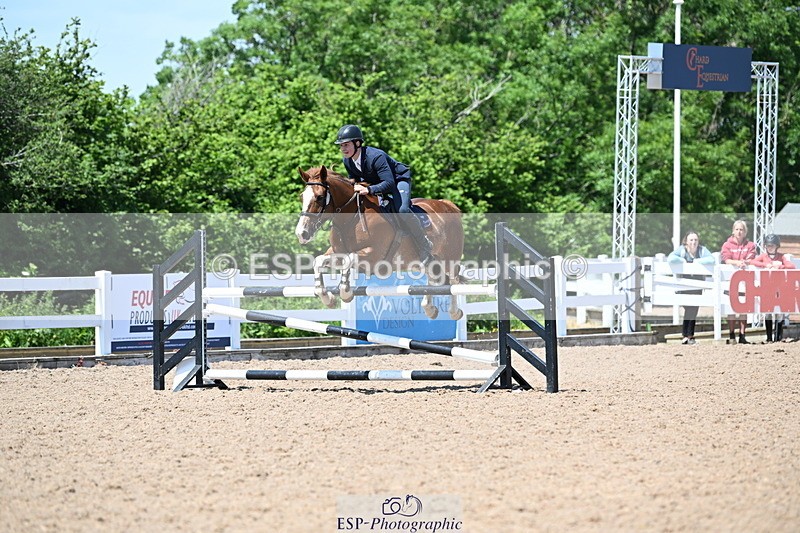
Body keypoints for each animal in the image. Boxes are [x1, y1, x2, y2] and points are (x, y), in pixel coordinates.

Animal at [294, 165, 465, 320]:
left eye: (319, 197)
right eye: (302, 197)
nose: (301, 233)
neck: (350, 219)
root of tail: (448, 205)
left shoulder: (375, 256)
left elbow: (349, 259)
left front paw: (346, 293)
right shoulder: (338, 252)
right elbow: (319, 261)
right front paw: (328, 298)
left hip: (450, 258)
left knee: (454, 281)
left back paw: (454, 312)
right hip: (425, 262)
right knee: (433, 278)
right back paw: (429, 308)